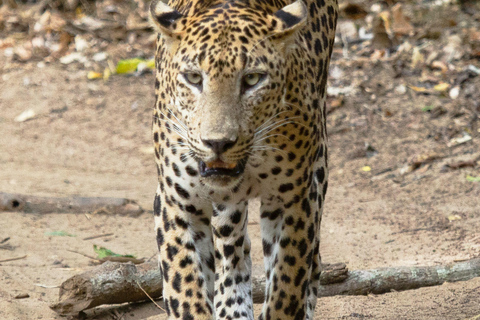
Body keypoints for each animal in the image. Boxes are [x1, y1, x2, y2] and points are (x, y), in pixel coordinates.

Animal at [150, 0, 338, 318]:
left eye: (252, 79)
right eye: (193, 78)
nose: (218, 143)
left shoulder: (296, 199)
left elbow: (287, 284)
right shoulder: (176, 202)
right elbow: (185, 288)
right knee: (233, 247)